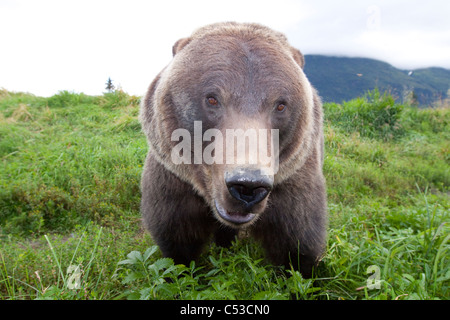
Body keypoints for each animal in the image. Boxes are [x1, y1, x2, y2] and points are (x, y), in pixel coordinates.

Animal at [139, 21, 326, 278]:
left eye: (281, 105)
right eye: (212, 98)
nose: (248, 186)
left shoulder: (293, 181)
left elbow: (298, 242)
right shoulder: (173, 179)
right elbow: (176, 238)